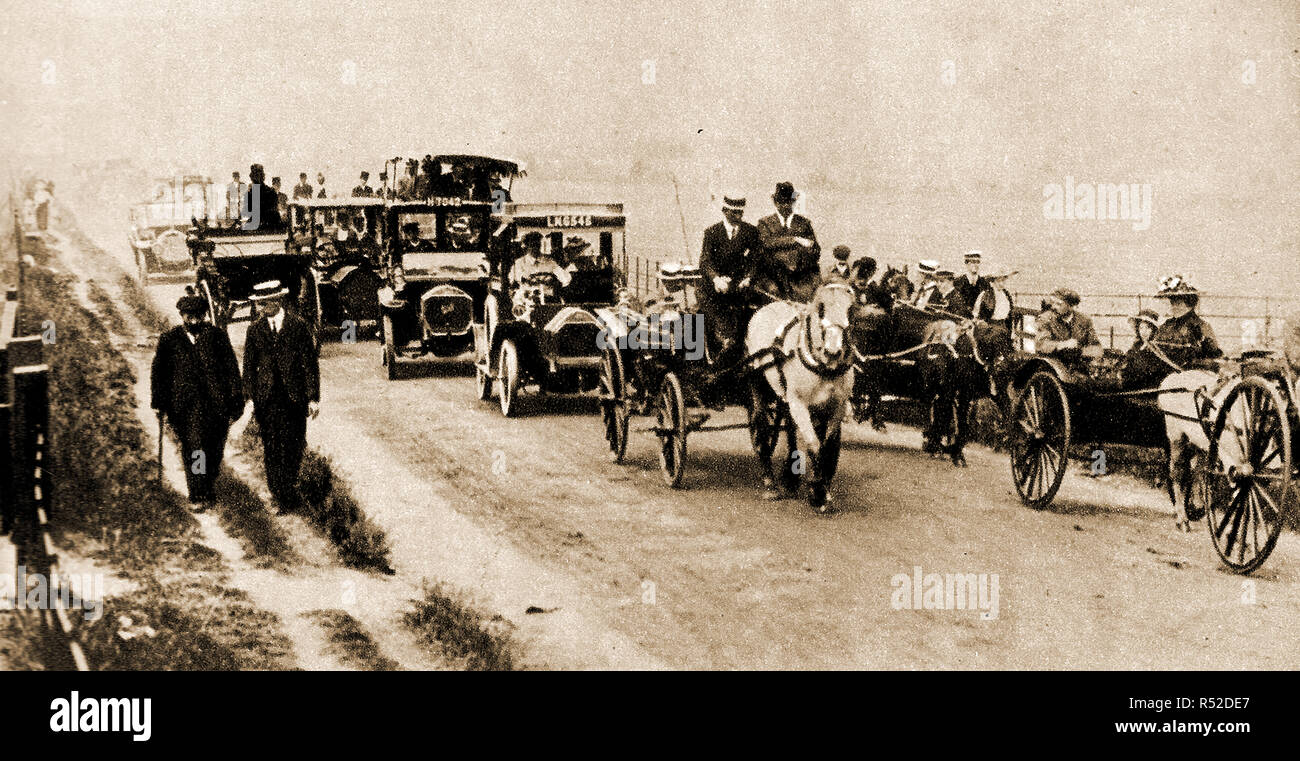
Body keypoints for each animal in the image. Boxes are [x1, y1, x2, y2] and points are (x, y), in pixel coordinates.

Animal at [748, 278, 857, 509]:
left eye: (851, 309)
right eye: (821, 308)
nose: (833, 352)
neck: (824, 367)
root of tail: (766, 307)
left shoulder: (836, 407)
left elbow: (827, 446)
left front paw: (823, 490)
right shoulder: (799, 403)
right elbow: (814, 444)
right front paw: (817, 491)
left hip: (785, 397)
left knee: (789, 427)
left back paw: (790, 478)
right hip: (759, 386)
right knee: (762, 429)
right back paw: (770, 483)